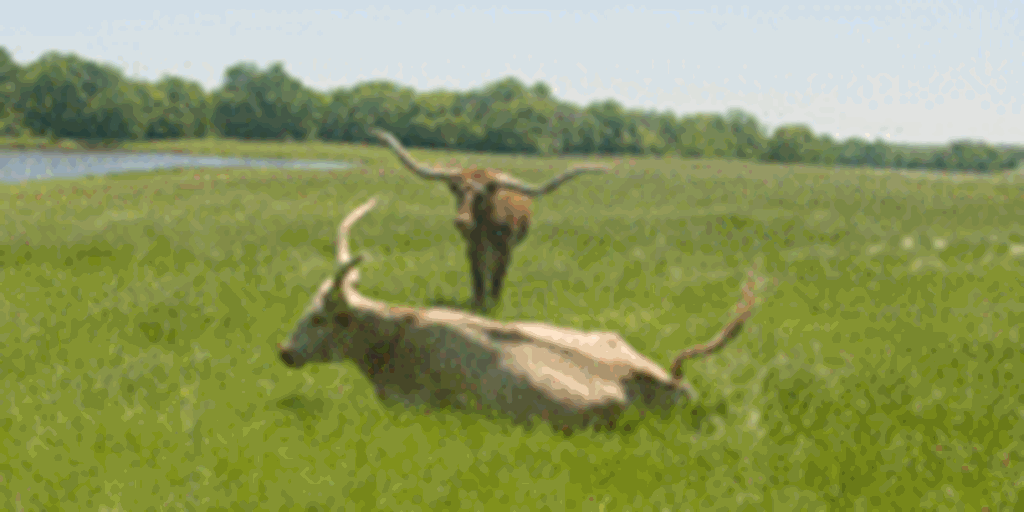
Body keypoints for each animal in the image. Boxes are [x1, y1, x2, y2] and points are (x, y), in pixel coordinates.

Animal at [369, 127, 610, 311]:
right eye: (458, 192)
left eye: (480, 195)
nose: (461, 221)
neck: (485, 223)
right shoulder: (472, 245)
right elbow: (477, 275)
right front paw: (477, 302)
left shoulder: (506, 248)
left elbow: (497, 276)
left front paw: (492, 305)